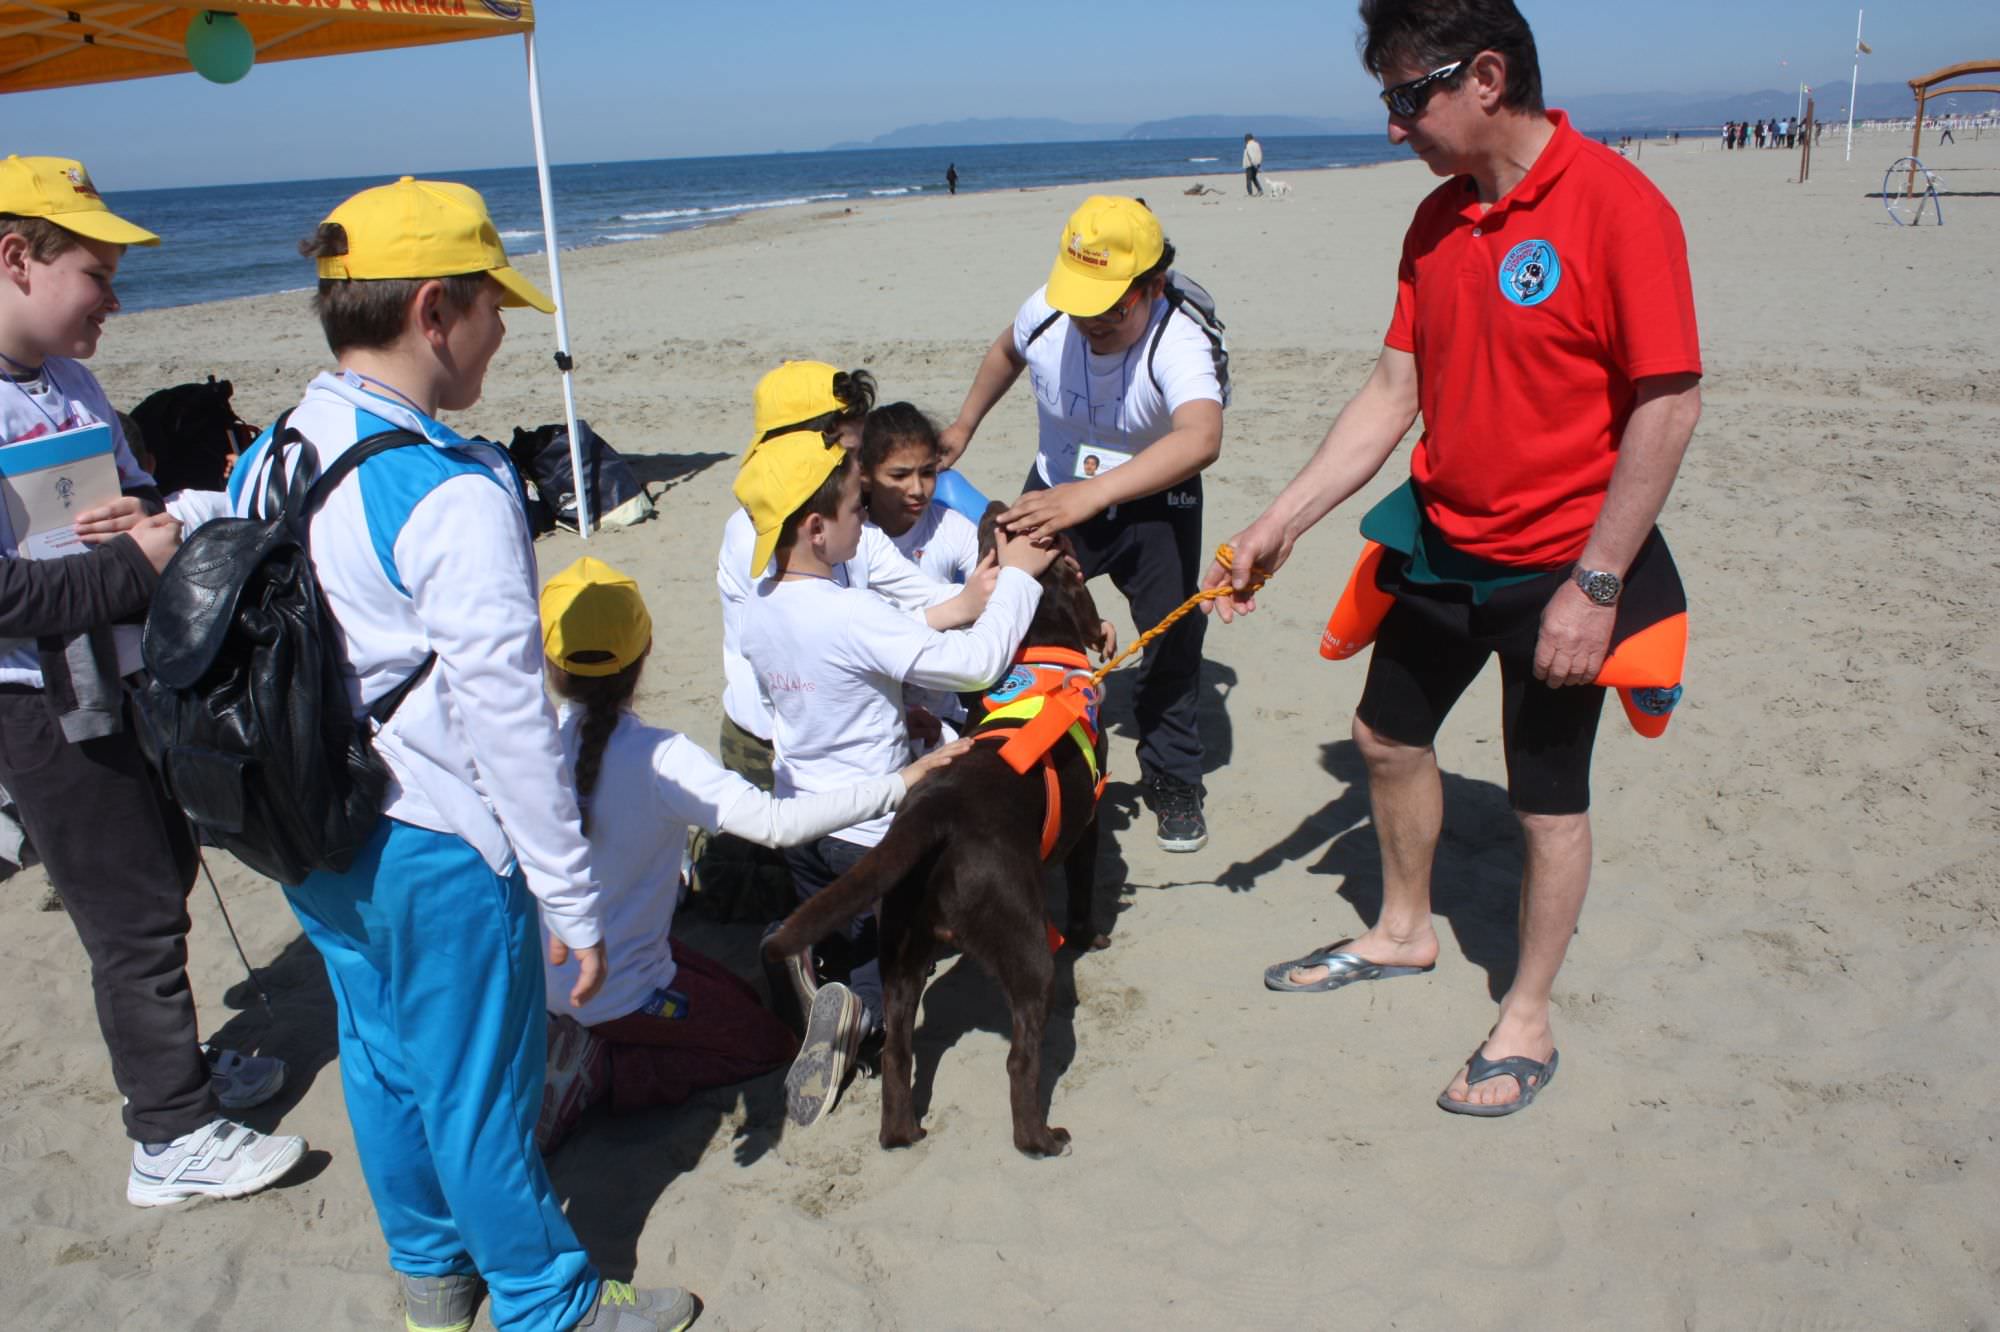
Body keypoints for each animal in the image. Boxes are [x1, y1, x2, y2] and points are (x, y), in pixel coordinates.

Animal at [760, 516, 1112, 1152]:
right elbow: (1080, 895)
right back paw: (1042, 1138)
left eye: (988, 544)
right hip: (1027, 952)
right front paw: (1091, 936)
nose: (1000, 508)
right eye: (1065, 551)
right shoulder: (1089, 823)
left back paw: (902, 1131)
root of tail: (936, 814)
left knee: (897, 1053)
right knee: (1021, 1061)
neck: (1037, 649)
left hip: (900, 953)